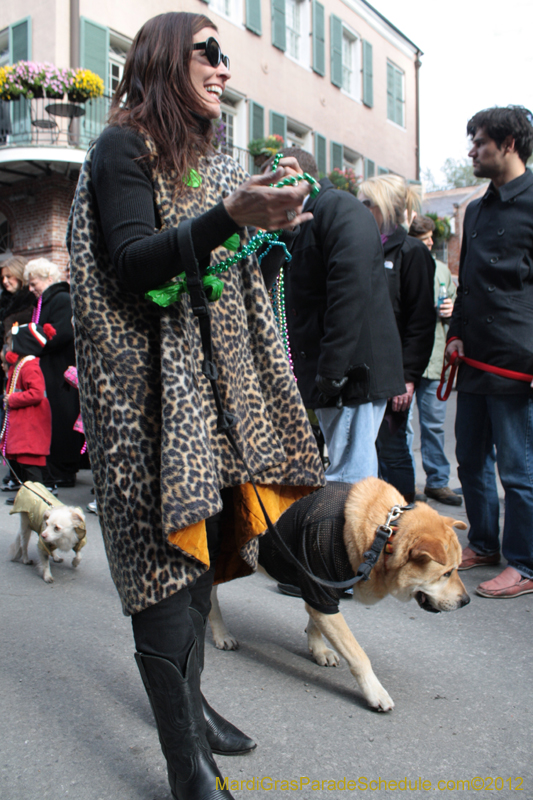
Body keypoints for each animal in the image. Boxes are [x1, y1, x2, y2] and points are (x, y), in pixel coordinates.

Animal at [208, 476, 466, 712]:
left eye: (457, 568)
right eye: (446, 573)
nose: (466, 601)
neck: (384, 534)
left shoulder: (320, 592)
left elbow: (316, 623)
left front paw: (319, 649)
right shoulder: (321, 589)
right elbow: (359, 656)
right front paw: (375, 691)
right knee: (211, 601)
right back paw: (221, 634)